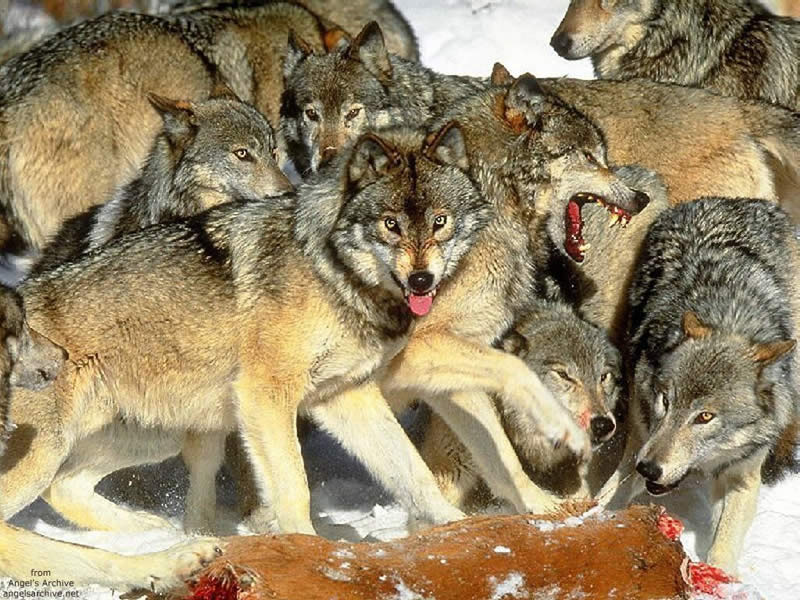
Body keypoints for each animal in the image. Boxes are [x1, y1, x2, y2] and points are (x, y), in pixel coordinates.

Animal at [0, 124, 497, 541]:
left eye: (440, 221)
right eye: (390, 225)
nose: (421, 281)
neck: (331, 273)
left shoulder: (344, 395)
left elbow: (415, 475)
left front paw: (460, 527)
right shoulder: (266, 396)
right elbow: (294, 488)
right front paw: (307, 547)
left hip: (155, 436)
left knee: (64, 487)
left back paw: (156, 534)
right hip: (49, 452)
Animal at [599, 197, 800, 573]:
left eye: (705, 417)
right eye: (665, 400)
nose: (649, 468)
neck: (727, 316)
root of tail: (732, 202)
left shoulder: (742, 475)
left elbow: (723, 546)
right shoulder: (640, 435)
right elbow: (610, 492)